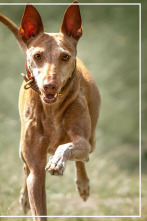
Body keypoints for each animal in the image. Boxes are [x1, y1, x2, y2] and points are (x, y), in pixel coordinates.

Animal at [0, 1, 100, 219]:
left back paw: (83, 184)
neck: (51, 109)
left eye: (65, 56)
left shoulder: (80, 140)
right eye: (37, 55)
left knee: (83, 157)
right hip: (22, 150)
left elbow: (68, 147)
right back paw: (24, 198)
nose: (49, 86)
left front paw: (57, 162)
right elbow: (35, 187)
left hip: (91, 140)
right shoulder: (36, 171)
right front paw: (28, 198)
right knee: (25, 168)